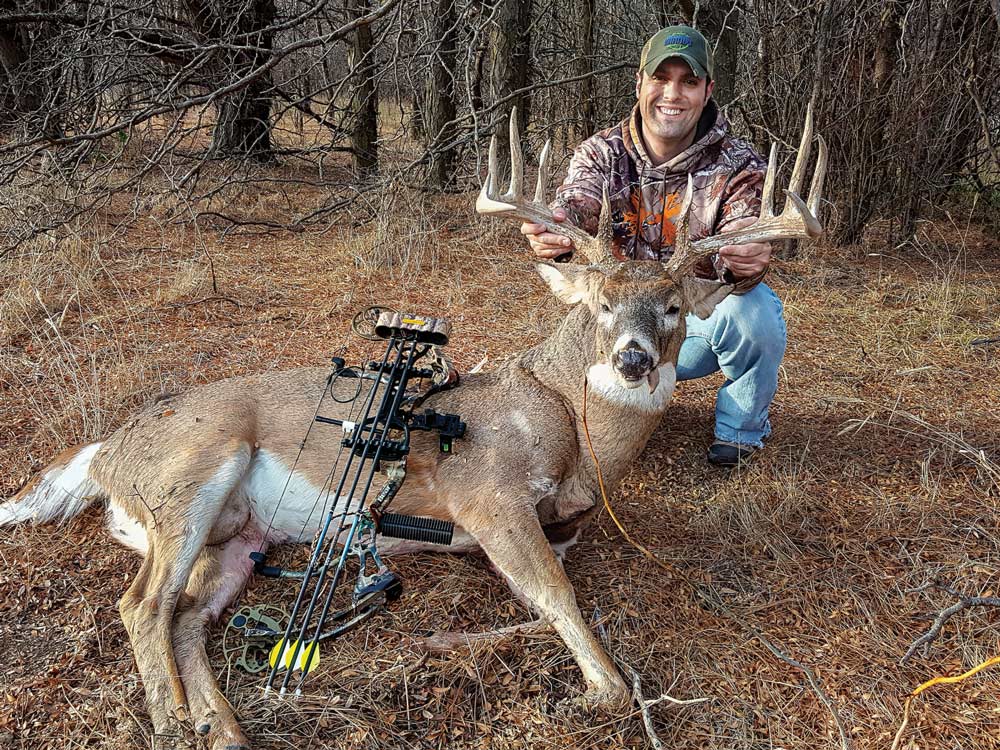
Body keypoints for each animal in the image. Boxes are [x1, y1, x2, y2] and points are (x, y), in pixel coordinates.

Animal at [0, 111, 825, 750]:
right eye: (597, 304)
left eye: (675, 307)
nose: (631, 360)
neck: (569, 427)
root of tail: (105, 456)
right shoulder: (487, 497)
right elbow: (559, 601)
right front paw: (595, 689)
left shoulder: (558, 525)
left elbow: (541, 601)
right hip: (192, 473)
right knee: (141, 605)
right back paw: (176, 721)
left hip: (236, 538)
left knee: (185, 617)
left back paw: (221, 724)